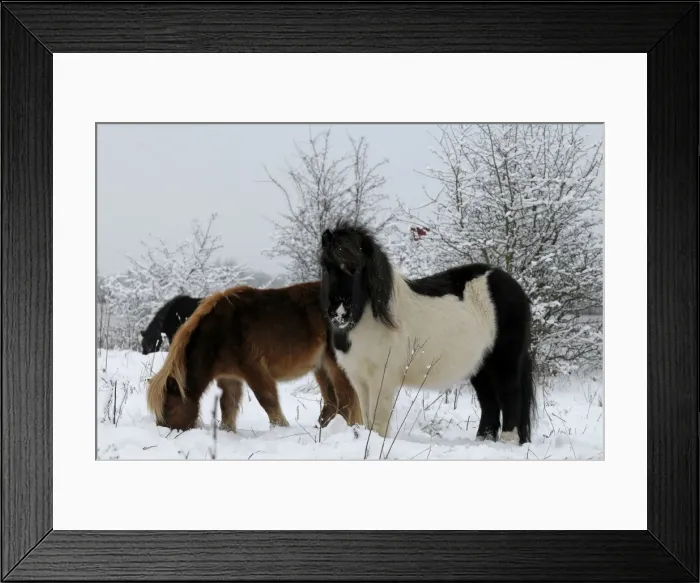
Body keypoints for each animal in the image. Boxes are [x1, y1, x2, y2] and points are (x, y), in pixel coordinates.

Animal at [146, 282, 362, 433]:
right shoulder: (229, 378)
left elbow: (268, 400)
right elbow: (228, 407)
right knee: (332, 404)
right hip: (321, 367)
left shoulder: (254, 369)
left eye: (168, 406)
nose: (164, 430)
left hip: (335, 365)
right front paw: (227, 432)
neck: (221, 330)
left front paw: (280, 429)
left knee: (346, 401)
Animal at [318, 221, 536, 445]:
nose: (339, 314)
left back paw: (507, 442)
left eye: (359, 268)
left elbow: (378, 422)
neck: (369, 319)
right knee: (490, 403)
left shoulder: (383, 379)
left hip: (505, 363)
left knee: (511, 398)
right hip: (481, 366)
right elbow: (368, 418)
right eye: (325, 267)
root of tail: (513, 286)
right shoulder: (359, 379)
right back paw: (483, 441)